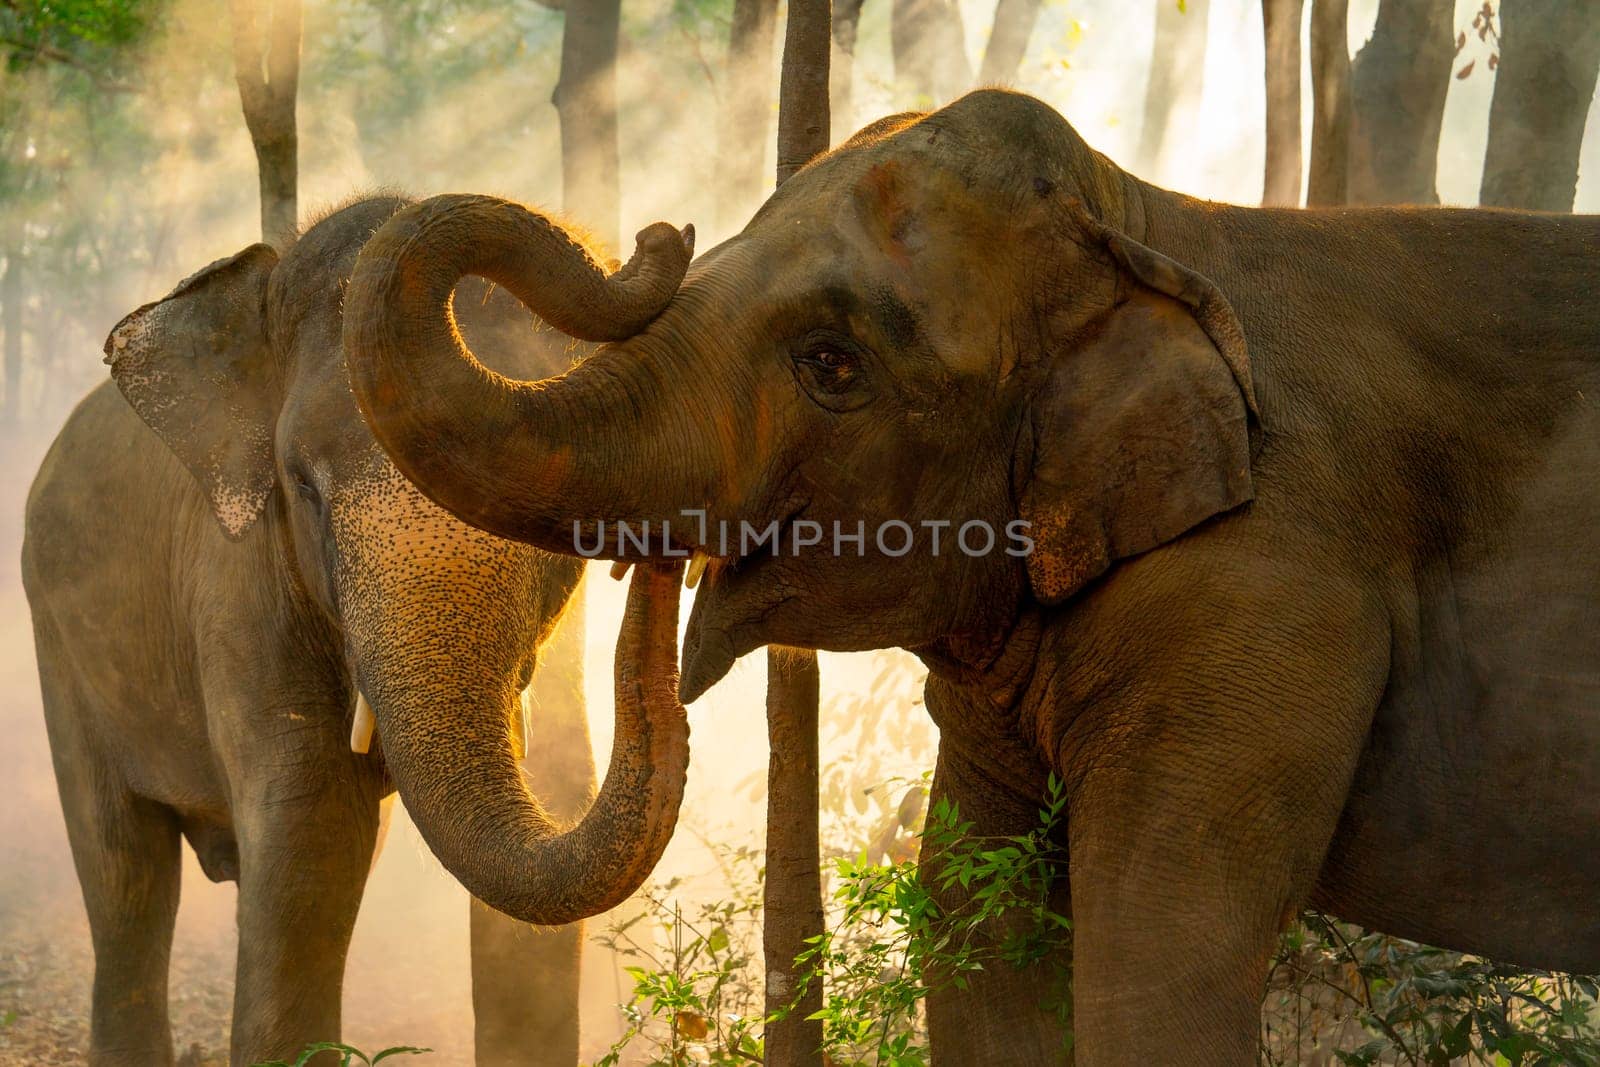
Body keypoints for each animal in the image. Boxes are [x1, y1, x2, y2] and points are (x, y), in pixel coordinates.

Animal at [20, 194, 694, 1067]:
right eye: (303, 484)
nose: (664, 232)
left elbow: (548, 795)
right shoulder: (239, 589)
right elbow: (311, 831)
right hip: (56, 638)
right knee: (125, 875)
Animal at [344, 91, 1600, 1067]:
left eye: (831, 363)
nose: (657, 233)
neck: (1145, 226)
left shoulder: (1262, 591)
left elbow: (1162, 951)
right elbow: (978, 945)